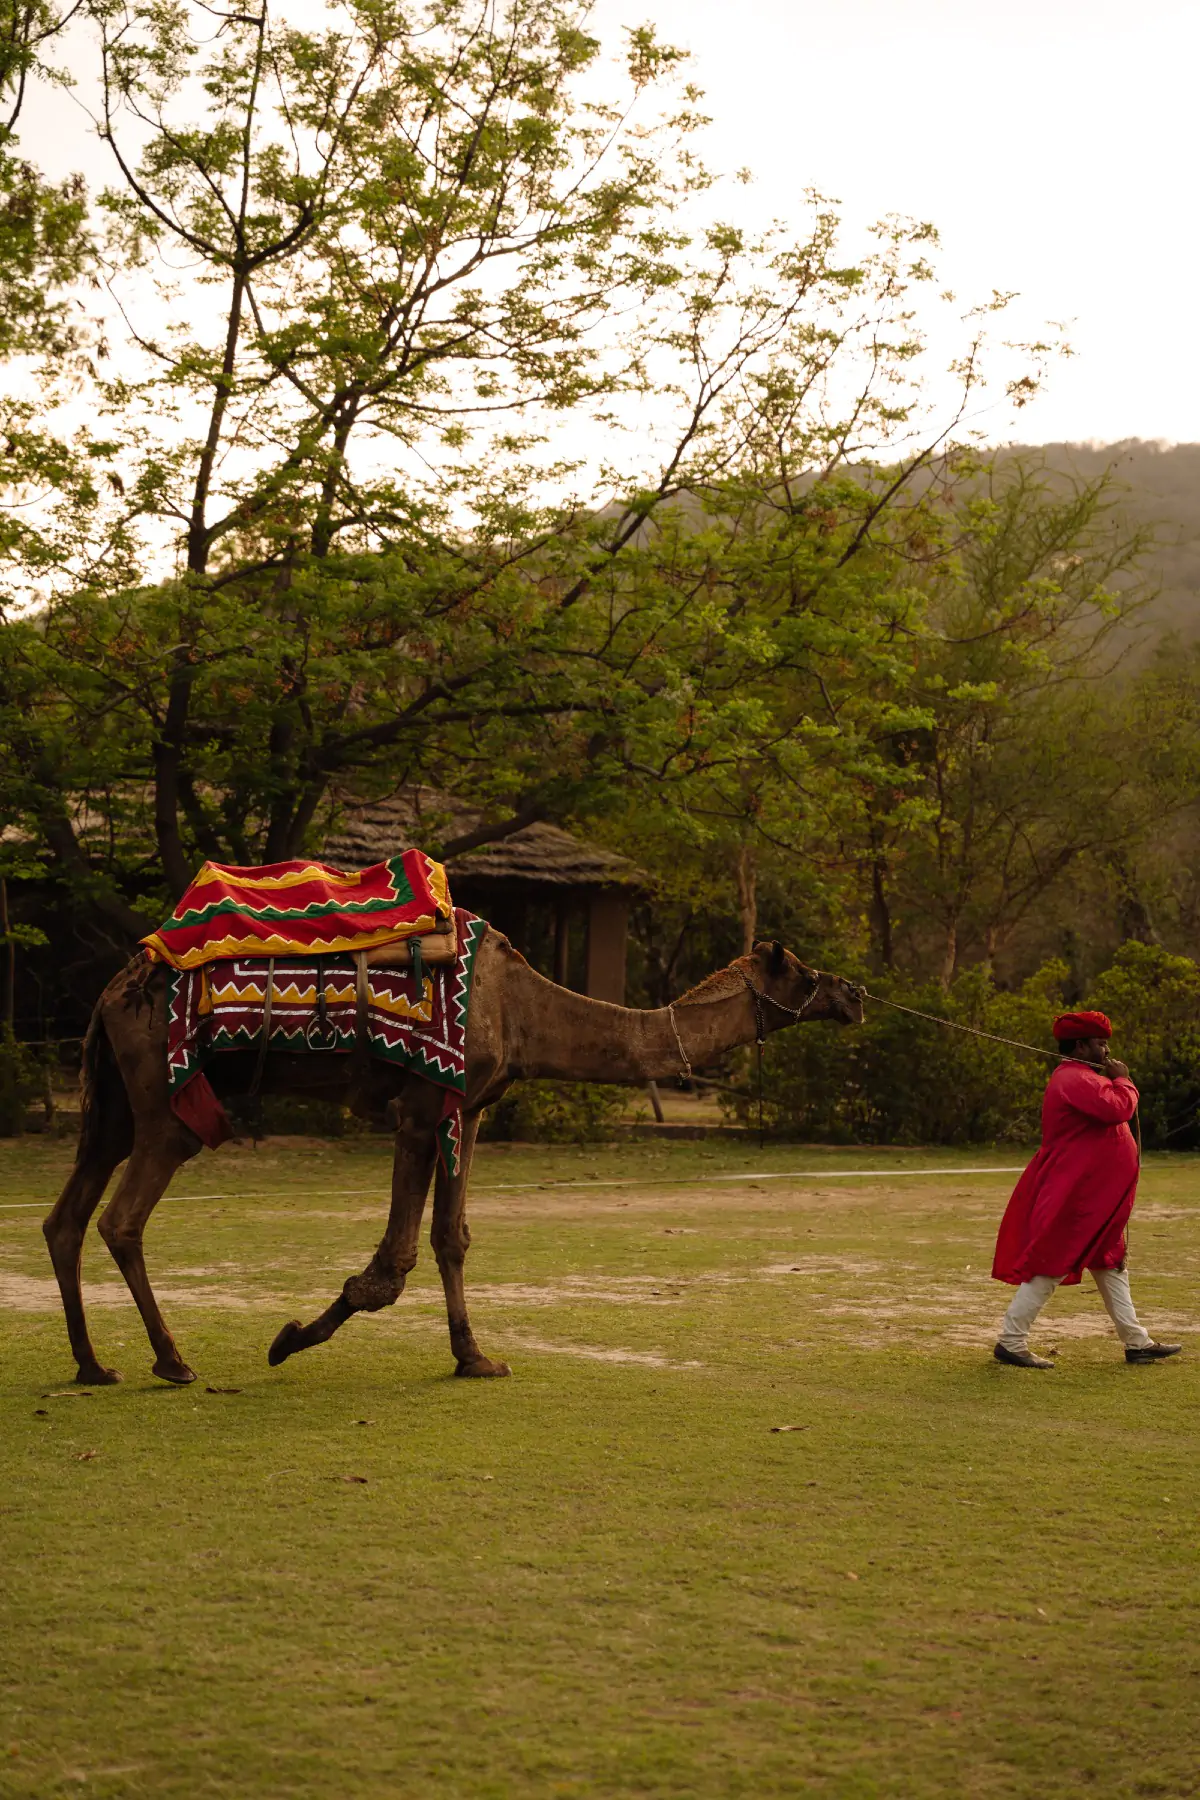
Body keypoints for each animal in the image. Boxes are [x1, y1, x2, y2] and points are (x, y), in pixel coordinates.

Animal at [37, 921, 863, 1382]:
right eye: (803, 971)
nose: (854, 992)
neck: (525, 1010)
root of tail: (113, 991)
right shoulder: (423, 1104)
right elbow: (397, 1260)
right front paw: (291, 1339)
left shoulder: (469, 1108)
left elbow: (451, 1238)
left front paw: (476, 1359)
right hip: (163, 1101)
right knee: (121, 1218)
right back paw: (171, 1360)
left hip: (112, 1102)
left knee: (64, 1217)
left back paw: (92, 1365)